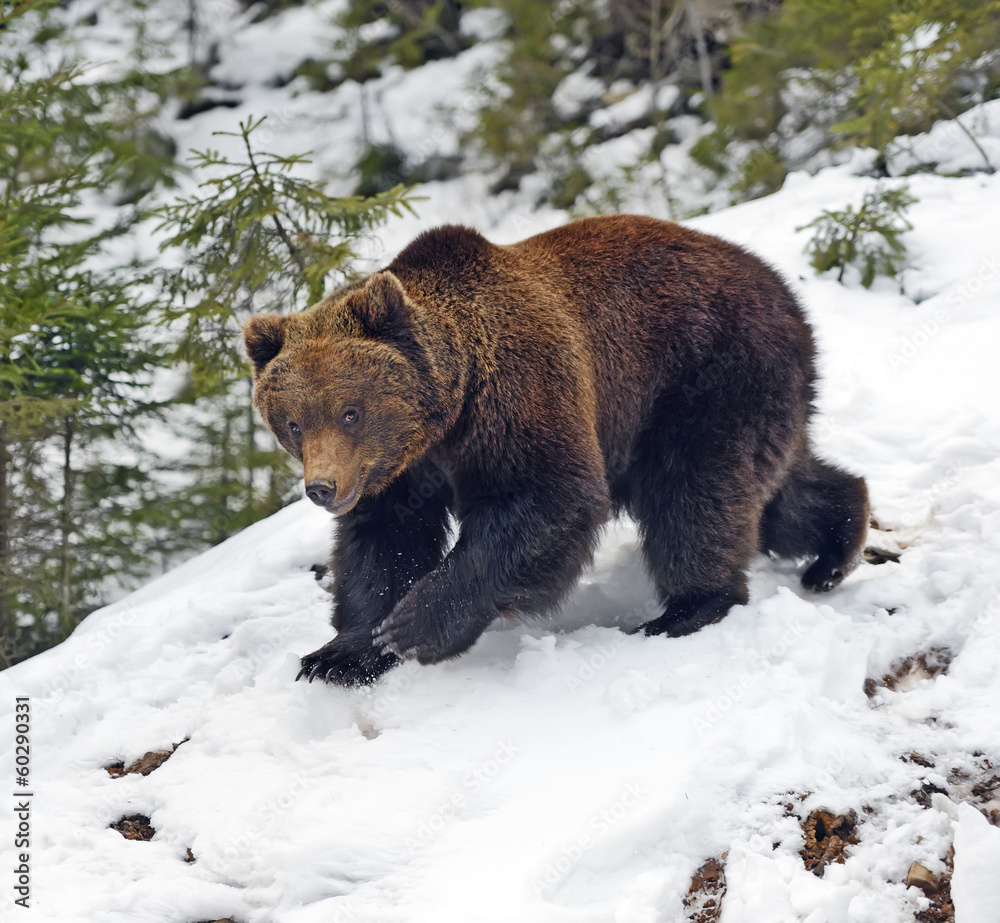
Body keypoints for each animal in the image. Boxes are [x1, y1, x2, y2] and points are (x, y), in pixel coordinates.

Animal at [242, 211, 868, 684]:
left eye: (350, 411)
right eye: (293, 423)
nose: (323, 489)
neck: (447, 415)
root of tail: (785, 290)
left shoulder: (519, 397)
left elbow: (549, 500)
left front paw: (416, 624)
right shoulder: (398, 472)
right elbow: (384, 542)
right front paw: (341, 653)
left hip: (704, 376)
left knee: (694, 494)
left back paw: (688, 608)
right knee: (778, 494)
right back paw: (835, 546)